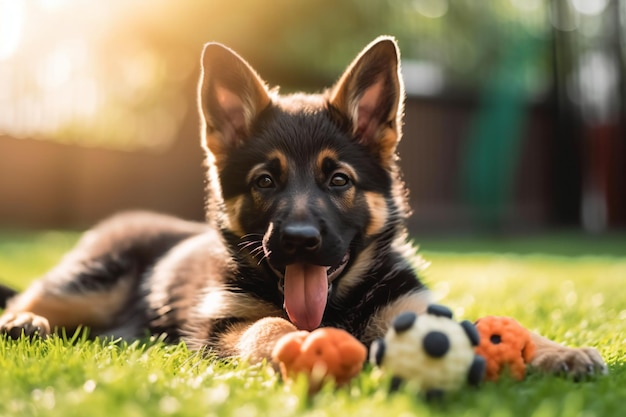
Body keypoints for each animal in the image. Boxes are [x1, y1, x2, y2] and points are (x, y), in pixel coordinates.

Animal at [0, 37, 604, 376]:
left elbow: (486, 327)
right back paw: (24, 323)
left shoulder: (412, 308)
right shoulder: (225, 327)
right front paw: (305, 344)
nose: (298, 241)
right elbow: (268, 326)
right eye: (266, 181)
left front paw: (553, 352)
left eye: (338, 180)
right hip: (88, 284)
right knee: (29, 298)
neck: (337, 303)